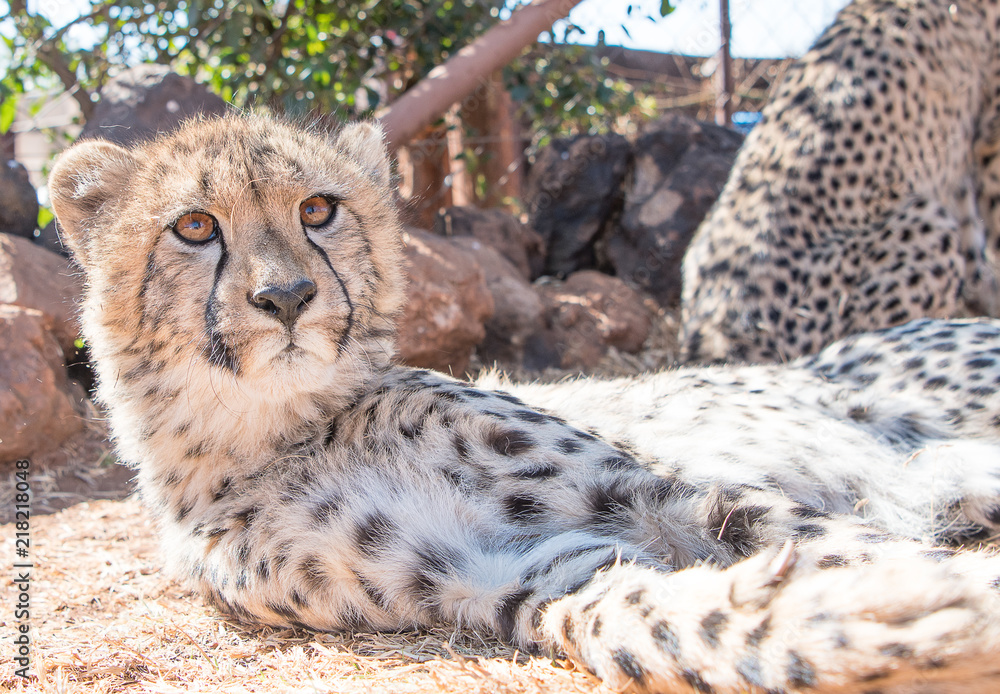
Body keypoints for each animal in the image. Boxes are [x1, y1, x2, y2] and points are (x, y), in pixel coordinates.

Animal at [50, 113, 1000, 693]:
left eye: (317, 209)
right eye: (195, 227)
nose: (285, 297)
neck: (282, 428)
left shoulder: (646, 492)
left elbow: (815, 533)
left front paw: (929, 593)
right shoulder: (501, 575)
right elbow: (639, 621)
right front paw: (872, 618)